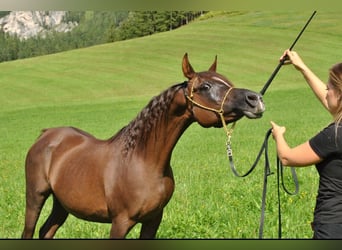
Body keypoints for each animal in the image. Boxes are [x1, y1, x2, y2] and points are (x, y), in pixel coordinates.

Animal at [22, 53, 266, 238]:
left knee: (46, 231)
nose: (255, 99)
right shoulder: (120, 222)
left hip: (61, 204)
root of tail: (46, 135)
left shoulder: (153, 219)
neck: (142, 161)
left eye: (227, 80)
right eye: (205, 86)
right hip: (35, 198)